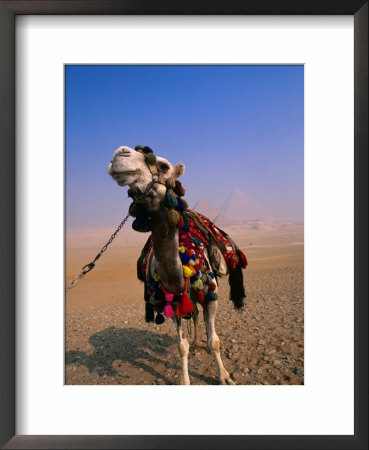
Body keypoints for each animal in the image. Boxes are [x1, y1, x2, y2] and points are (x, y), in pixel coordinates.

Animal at [108, 146, 246, 384]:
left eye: (164, 166)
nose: (120, 154)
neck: (177, 275)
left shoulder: (212, 297)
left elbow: (215, 341)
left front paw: (225, 376)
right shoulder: (171, 302)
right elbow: (181, 346)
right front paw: (184, 379)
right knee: (195, 315)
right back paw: (197, 342)